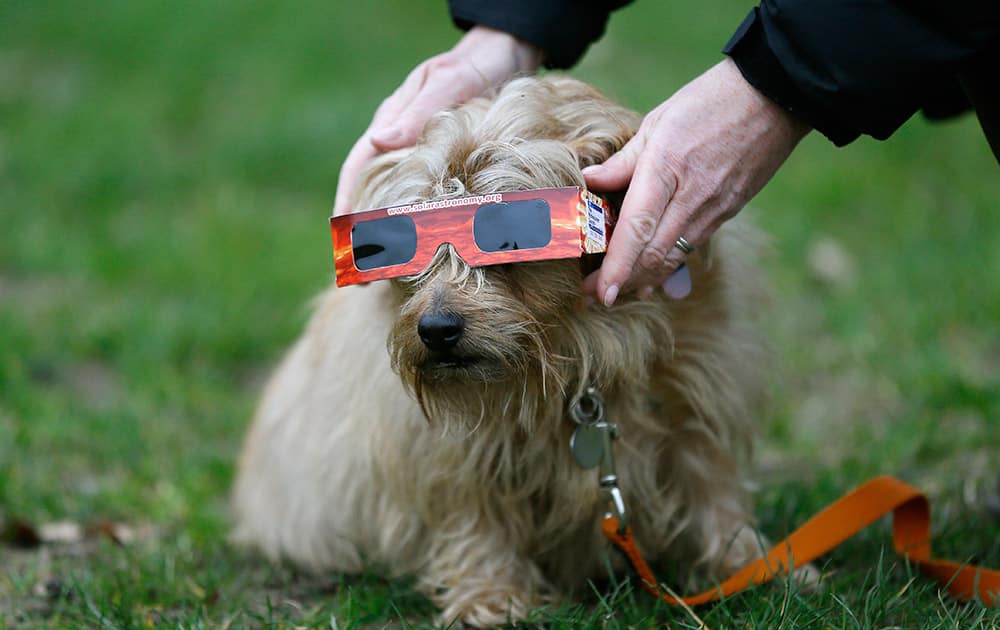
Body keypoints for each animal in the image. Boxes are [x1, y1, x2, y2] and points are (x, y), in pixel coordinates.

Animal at [232, 75, 772, 628]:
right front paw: (493, 596)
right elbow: (474, 512)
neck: (576, 351)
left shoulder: (695, 402)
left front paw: (743, 565)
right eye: (393, 248)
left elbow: (711, 484)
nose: (436, 329)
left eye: (509, 238)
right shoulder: (448, 451)